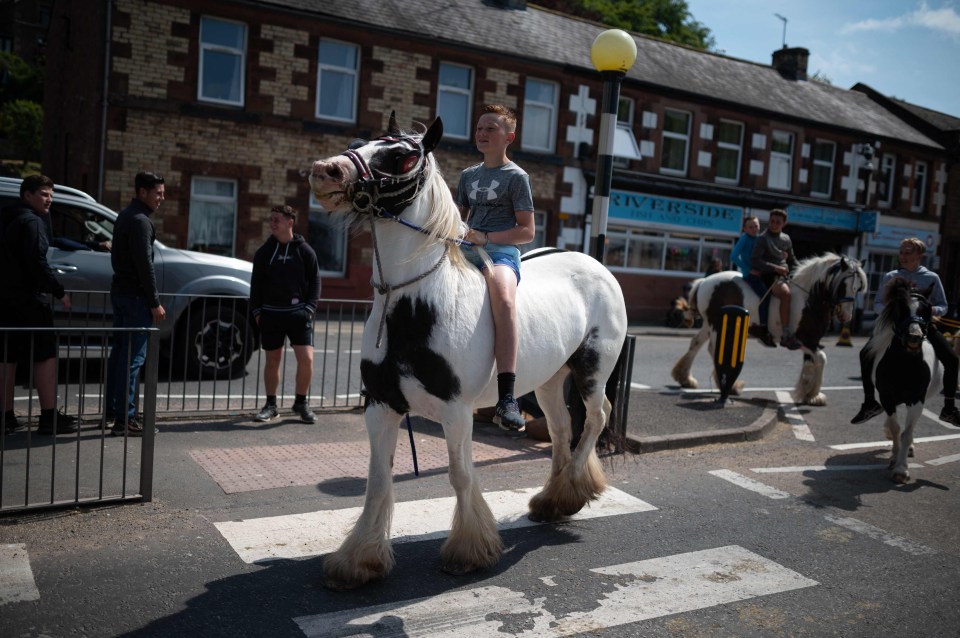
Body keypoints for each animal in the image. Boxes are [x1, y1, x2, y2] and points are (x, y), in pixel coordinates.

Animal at [308, 114, 632, 592]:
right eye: (359, 141)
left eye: (403, 155)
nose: (325, 171)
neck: (414, 303)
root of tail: (594, 265)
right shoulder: (381, 406)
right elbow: (378, 480)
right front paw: (359, 560)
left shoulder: (455, 410)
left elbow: (460, 475)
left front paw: (469, 551)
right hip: (550, 379)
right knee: (560, 429)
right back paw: (551, 501)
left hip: (592, 370)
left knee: (595, 418)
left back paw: (573, 489)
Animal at [672, 254, 868, 404]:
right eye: (843, 285)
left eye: (858, 287)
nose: (846, 316)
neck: (809, 299)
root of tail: (705, 281)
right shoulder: (805, 341)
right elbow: (822, 359)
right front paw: (810, 393)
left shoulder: (813, 341)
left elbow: (811, 363)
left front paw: (809, 394)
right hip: (715, 325)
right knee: (712, 349)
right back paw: (728, 385)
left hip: (709, 324)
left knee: (695, 343)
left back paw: (685, 378)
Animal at [868, 278, 940, 482]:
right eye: (901, 307)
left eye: (927, 308)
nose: (913, 337)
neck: (904, 366)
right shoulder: (887, 397)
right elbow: (895, 428)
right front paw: (894, 458)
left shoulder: (917, 399)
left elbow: (906, 433)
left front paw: (901, 469)